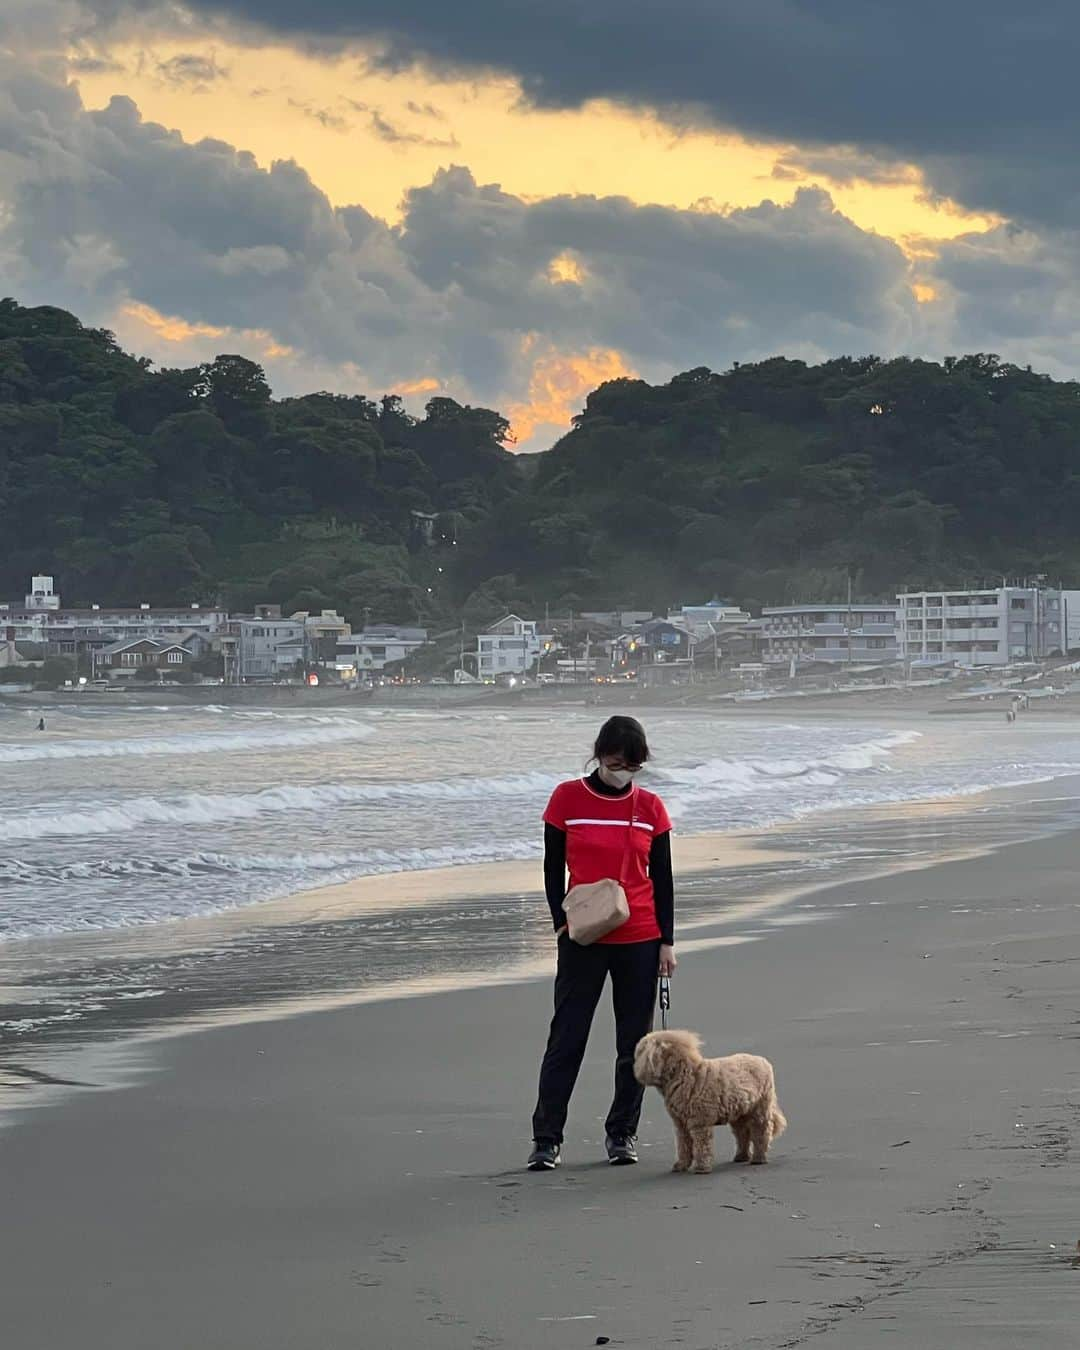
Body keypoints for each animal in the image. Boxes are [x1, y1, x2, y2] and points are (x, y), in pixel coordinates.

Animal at [631, 1031, 783, 1171]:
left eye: (640, 1052)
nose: (634, 1067)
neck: (684, 1077)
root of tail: (763, 1061)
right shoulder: (681, 1124)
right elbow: (683, 1145)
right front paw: (681, 1165)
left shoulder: (700, 1122)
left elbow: (701, 1145)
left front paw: (701, 1167)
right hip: (739, 1112)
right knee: (742, 1134)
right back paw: (741, 1156)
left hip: (760, 1107)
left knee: (762, 1132)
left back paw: (759, 1158)